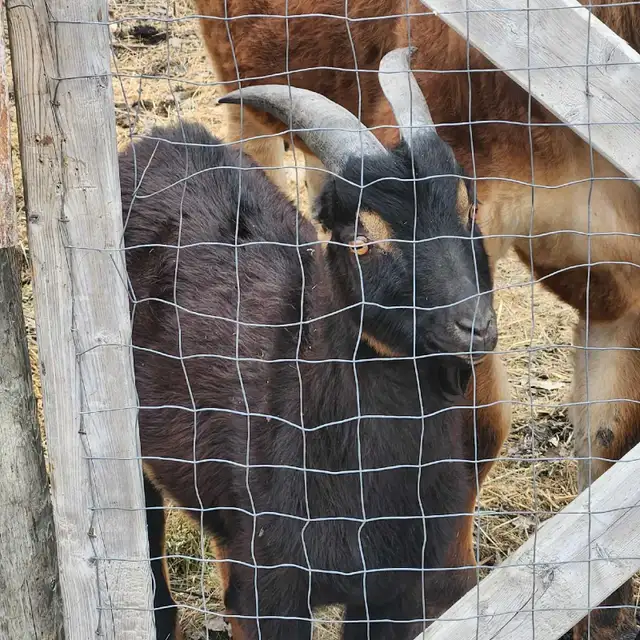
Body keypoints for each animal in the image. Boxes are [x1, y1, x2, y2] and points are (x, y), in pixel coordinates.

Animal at [123, 48, 509, 640]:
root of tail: (159, 138)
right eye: (360, 240)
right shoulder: (266, 589)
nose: (475, 326)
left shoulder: (398, 591)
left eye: (469, 210)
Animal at [195, 2, 640, 637]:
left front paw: (603, 614)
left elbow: (610, 432)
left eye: (465, 208)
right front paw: (448, 593)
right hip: (244, 88)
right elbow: (478, 426)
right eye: (368, 239)